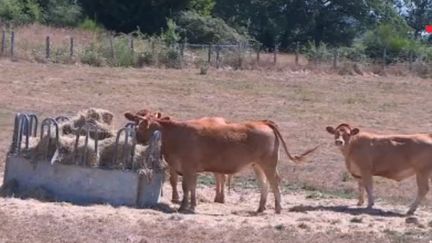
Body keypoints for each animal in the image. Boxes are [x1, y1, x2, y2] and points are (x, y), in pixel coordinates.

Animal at [123, 112, 316, 213]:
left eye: (140, 125)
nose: (135, 137)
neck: (176, 134)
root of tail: (263, 122)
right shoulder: (189, 169)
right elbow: (192, 187)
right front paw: (192, 205)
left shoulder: (188, 167)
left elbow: (186, 187)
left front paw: (184, 206)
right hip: (257, 166)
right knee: (264, 184)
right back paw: (260, 208)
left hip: (268, 164)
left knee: (275, 182)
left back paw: (278, 207)